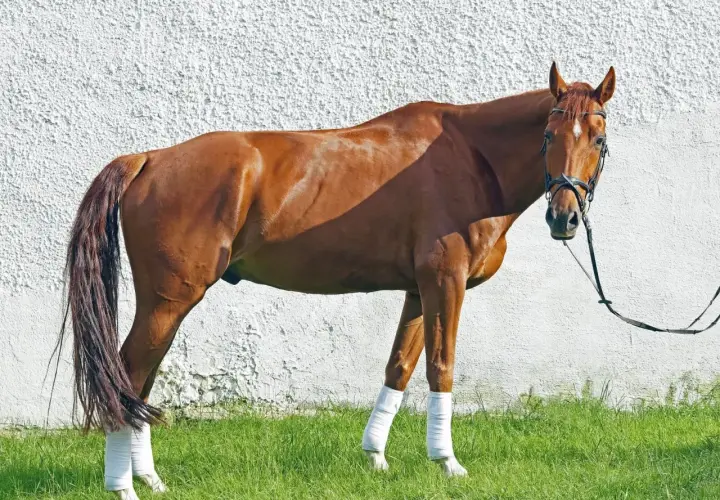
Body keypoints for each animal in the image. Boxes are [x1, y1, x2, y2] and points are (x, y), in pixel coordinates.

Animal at [57, 61, 615, 498]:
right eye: (548, 136)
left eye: (599, 138)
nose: (564, 218)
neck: (472, 158)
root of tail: (148, 159)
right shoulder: (446, 283)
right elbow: (441, 367)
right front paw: (448, 463)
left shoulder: (419, 289)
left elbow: (399, 366)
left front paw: (375, 458)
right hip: (168, 301)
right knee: (128, 376)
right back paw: (123, 486)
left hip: (165, 306)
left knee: (140, 384)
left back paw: (150, 480)